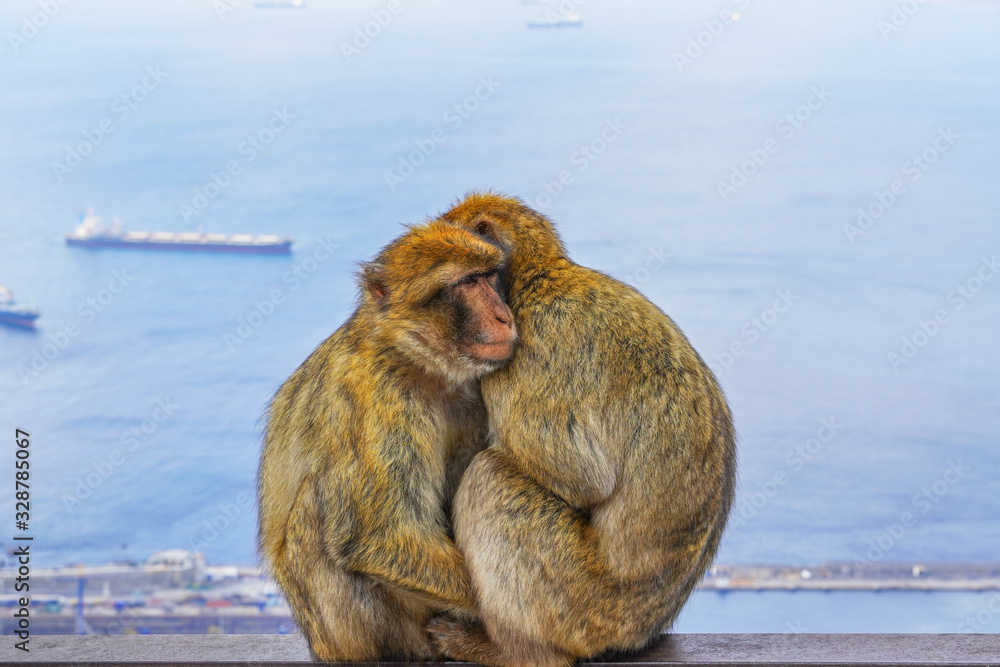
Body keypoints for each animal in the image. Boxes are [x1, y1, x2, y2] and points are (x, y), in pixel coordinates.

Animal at [257, 219, 517, 662]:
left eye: (488, 278)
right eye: (467, 282)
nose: (504, 316)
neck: (412, 356)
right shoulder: (376, 398)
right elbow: (378, 534)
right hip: (352, 630)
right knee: (317, 506)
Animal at [427, 193, 737, 667]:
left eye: (471, 281)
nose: (493, 319)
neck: (535, 280)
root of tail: (637, 631)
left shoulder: (525, 352)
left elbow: (585, 479)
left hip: (579, 603)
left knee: (492, 479)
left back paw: (509, 649)